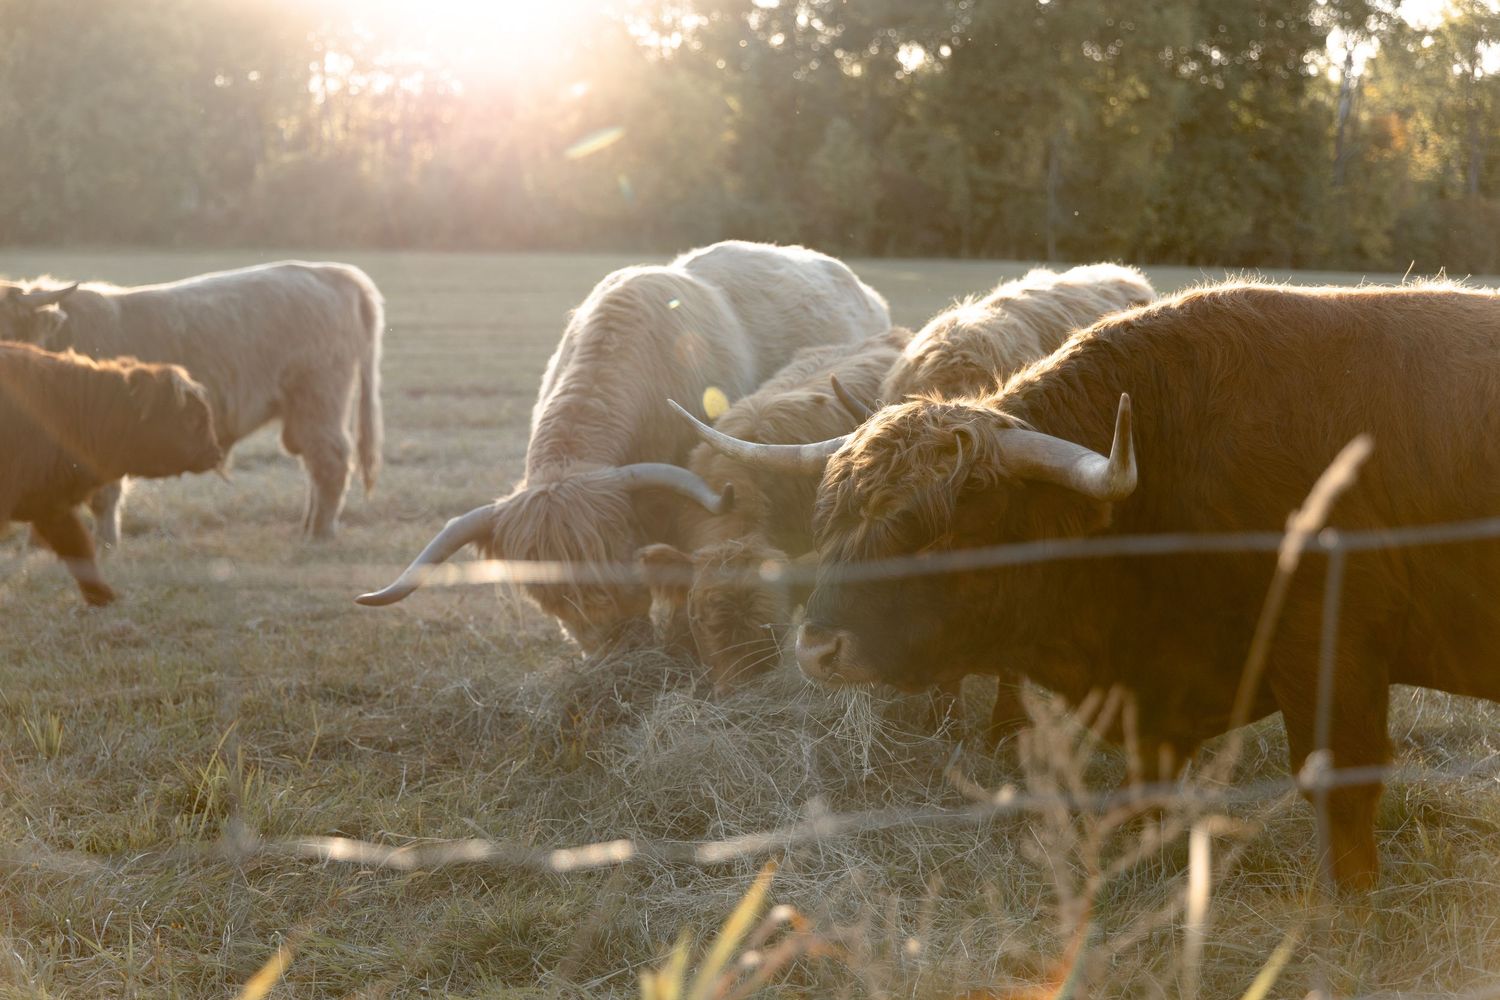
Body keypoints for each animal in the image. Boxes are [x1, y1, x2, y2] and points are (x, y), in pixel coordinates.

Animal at [0, 261, 384, 543]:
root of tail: (330, 272)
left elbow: (104, 496)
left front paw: (106, 545)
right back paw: (307, 527)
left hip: (318, 400)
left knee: (330, 459)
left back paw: (319, 535)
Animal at [756, 279, 1500, 890]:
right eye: (834, 520)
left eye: (942, 535)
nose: (817, 648)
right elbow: (1147, 790)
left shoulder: (1332, 656)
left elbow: (1339, 787)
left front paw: (1349, 906)